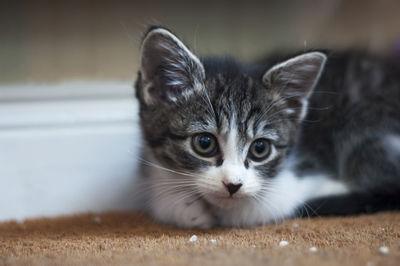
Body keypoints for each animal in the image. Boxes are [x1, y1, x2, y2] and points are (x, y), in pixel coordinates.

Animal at [134, 25, 400, 229]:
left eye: (260, 148)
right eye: (204, 143)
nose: (233, 185)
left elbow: (263, 206)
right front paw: (185, 205)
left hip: (361, 123)